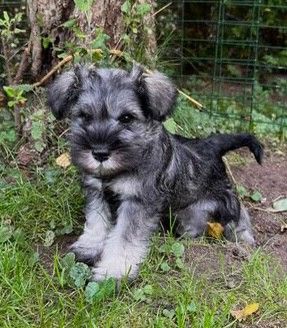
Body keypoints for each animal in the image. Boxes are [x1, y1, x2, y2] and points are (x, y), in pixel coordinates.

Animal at [48, 64, 264, 282]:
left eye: (127, 118)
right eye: (84, 115)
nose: (100, 152)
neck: (120, 169)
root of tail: (211, 144)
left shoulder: (137, 201)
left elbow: (124, 238)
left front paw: (113, 272)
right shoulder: (97, 192)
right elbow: (96, 221)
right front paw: (89, 247)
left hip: (224, 196)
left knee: (239, 212)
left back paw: (243, 238)